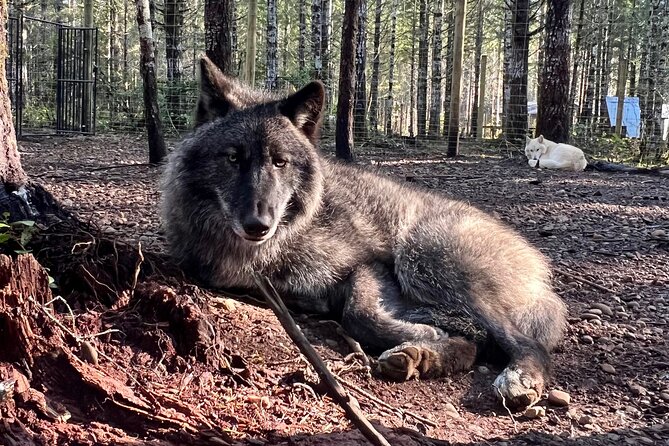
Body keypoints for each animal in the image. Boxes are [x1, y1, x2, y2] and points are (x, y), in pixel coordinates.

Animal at [161, 57, 568, 409]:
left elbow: (359, 313)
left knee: (522, 342)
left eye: (280, 162)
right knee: (478, 339)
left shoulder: (369, 264)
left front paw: (425, 337)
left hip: (423, 257)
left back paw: (515, 377)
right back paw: (421, 356)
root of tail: (536, 263)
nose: (258, 224)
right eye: (233, 158)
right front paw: (427, 342)